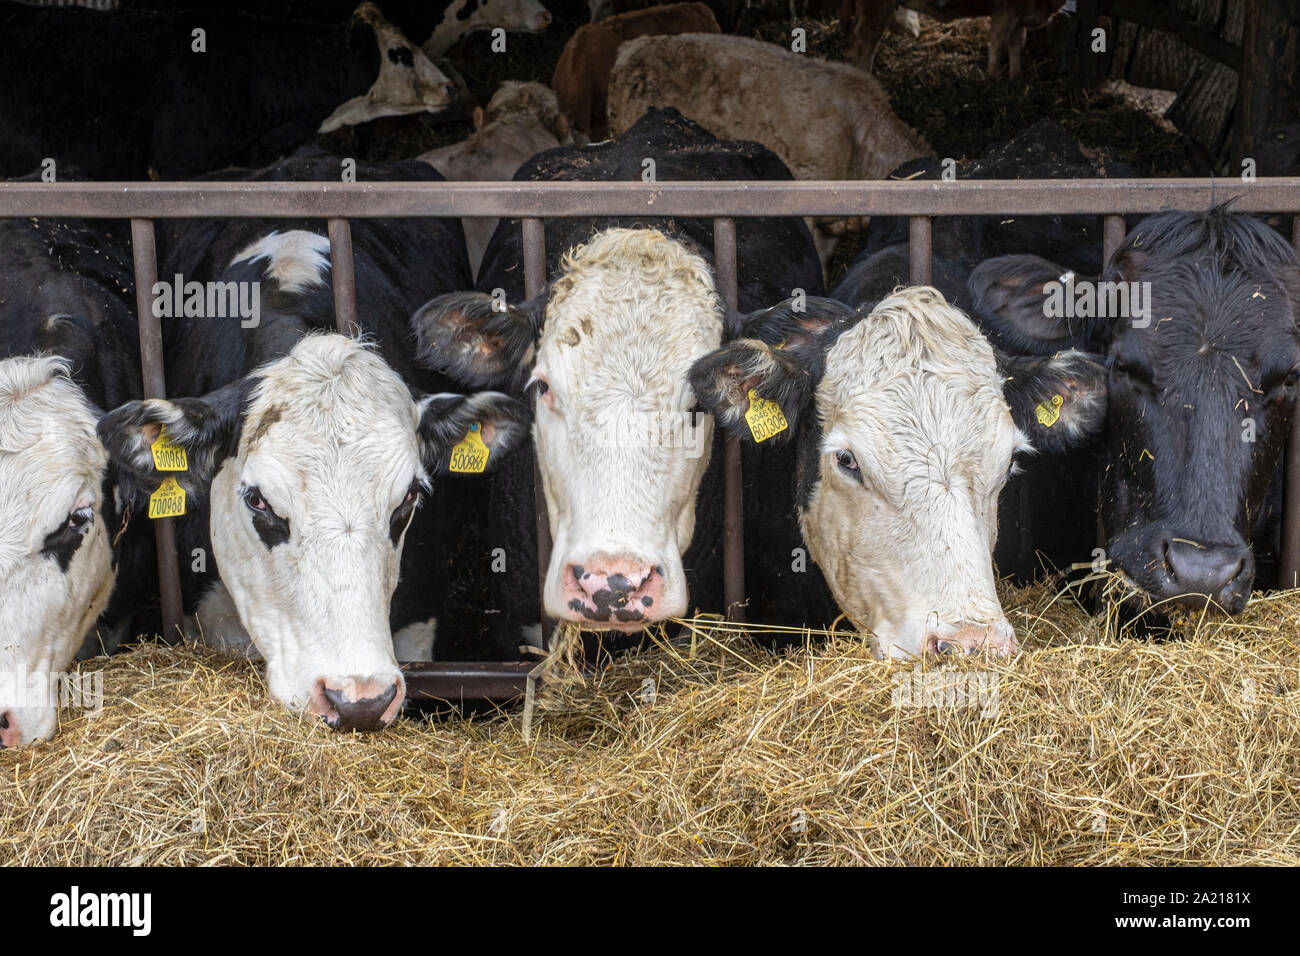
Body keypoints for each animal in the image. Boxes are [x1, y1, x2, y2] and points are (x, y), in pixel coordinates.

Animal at [837, 0, 1067, 78]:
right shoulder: (1006, 10)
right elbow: (998, 45)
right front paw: (991, 82)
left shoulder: (1021, 14)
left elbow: (1017, 44)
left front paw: (1016, 79)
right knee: (860, 48)